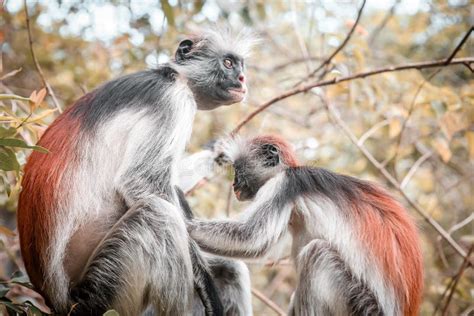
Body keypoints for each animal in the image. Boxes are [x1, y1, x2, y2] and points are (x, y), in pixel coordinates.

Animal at [18, 30, 254, 316]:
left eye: (241, 66)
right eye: (228, 63)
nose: (242, 79)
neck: (173, 76)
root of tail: (58, 302)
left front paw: (220, 151)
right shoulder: (172, 100)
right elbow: (141, 182)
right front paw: (207, 285)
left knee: (229, 268)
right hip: (102, 293)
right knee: (158, 213)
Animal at [189, 135, 422, 316]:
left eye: (238, 170)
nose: (234, 184)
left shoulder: (285, 183)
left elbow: (250, 238)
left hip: (362, 306)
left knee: (317, 254)